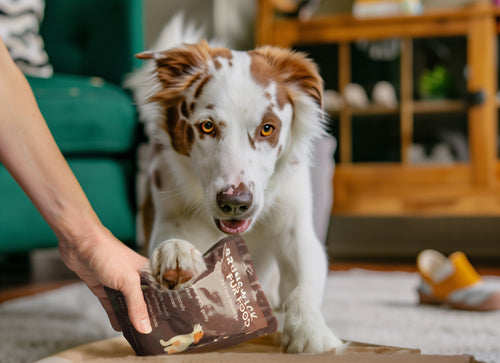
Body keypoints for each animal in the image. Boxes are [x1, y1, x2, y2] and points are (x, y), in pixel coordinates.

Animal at [127, 15, 342, 354]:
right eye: (207, 126)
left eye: (267, 128)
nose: (235, 202)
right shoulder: (167, 205)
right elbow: (170, 238)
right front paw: (175, 251)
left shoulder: (296, 232)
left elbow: (302, 286)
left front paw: (309, 333)